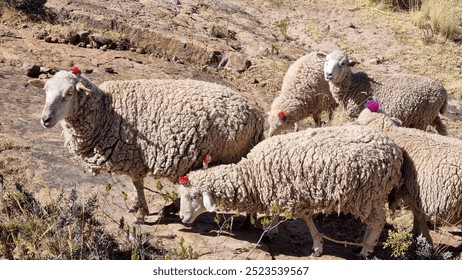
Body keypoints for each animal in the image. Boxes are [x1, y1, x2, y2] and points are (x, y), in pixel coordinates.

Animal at [29, 69, 264, 223]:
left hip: (228, 153)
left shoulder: (133, 154)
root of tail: (256, 113)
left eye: (69, 93)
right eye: (46, 91)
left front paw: (141, 212)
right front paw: (137, 206)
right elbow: (136, 185)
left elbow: (137, 183)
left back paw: (249, 221)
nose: (45, 119)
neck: (105, 111)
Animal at [179, 124, 402, 258]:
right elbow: (276, 212)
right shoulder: (278, 192)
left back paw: (366, 250)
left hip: (369, 193)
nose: (182, 218)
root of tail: (394, 148)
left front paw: (317, 247)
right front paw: (271, 231)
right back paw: (363, 246)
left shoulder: (294, 195)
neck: (253, 175)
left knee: (378, 222)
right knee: (374, 221)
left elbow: (307, 220)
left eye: (194, 196)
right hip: (371, 195)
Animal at [358, 108, 462, 244]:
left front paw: (424, 238)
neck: (393, 134)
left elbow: (418, 215)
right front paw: (416, 233)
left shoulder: (409, 190)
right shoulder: (414, 193)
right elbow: (417, 215)